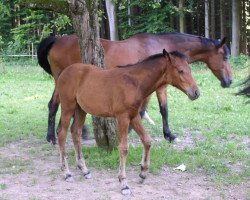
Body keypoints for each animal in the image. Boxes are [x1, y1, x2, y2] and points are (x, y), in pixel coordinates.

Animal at [37, 32, 232, 144]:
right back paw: (52, 137)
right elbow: (152, 110)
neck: (161, 47)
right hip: (60, 80)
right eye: (225, 57)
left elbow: (160, 110)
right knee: (54, 105)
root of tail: (57, 39)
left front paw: (167, 134)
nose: (229, 81)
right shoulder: (156, 88)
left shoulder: (157, 87)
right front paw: (165, 134)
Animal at [56, 49, 199, 195]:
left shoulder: (134, 116)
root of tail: (64, 72)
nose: (196, 92)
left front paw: (143, 173)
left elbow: (147, 140)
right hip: (68, 107)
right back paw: (67, 173)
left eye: (189, 69)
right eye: (180, 70)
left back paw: (84, 170)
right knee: (62, 133)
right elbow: (124, 148)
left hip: (80, 110)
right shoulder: (123, 117)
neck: (134, 83)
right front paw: (124, 183)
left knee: (76, 132)